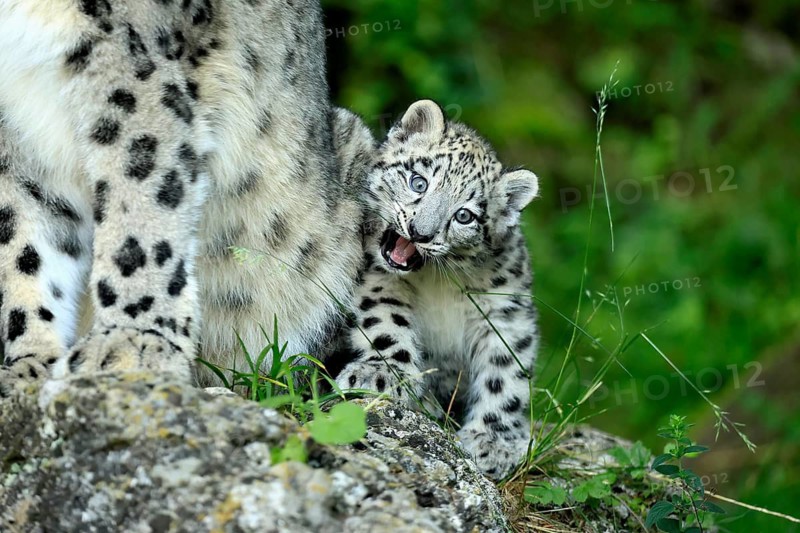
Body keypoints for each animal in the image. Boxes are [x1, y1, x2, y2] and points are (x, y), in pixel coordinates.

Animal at [335, 100, 541, 479]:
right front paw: (381, 375)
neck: (437, 280)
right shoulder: (378, 280)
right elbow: (387, 325)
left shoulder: (506, 310)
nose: (420, 232)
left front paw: (493, 441)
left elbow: (504, 371)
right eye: (419, 182)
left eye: (465, 216)